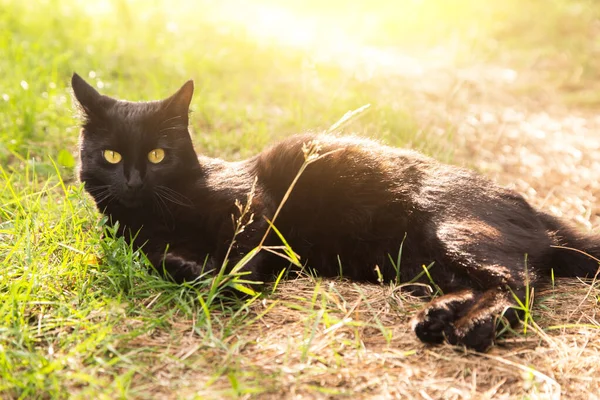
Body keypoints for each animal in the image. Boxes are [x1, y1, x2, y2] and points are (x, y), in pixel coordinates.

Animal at [71, 72, 600, 350]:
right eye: (111, 156)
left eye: (158, 154)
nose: (133, 180)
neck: (158, 217)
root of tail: (532, 208)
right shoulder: (132, 240)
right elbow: (156, 258)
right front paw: (187, 266)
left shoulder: (256, 207)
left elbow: (244, 258)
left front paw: (228, 281)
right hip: (425, 261)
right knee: (490, 281)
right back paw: (440, 316)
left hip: (453, 229)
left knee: (521, 283)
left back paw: (470, 328)